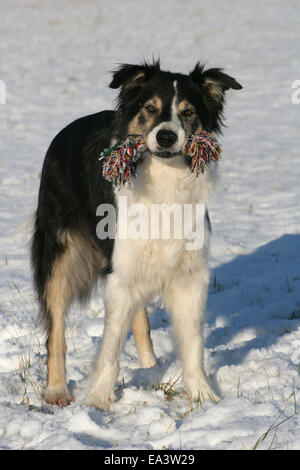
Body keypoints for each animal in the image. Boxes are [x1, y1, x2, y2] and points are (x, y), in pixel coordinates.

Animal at [31, 61, 241, 408]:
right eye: (150, 109)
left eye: (187, 112)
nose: (166, 136)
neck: (165, 179)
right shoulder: (120, 273)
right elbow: (110, 345)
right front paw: (97, 401)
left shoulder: (189, 274)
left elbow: (193, 342)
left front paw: (203, 395)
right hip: (61, 253)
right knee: (57, 328)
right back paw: (57, 390)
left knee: (140, 321)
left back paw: (151, 369)